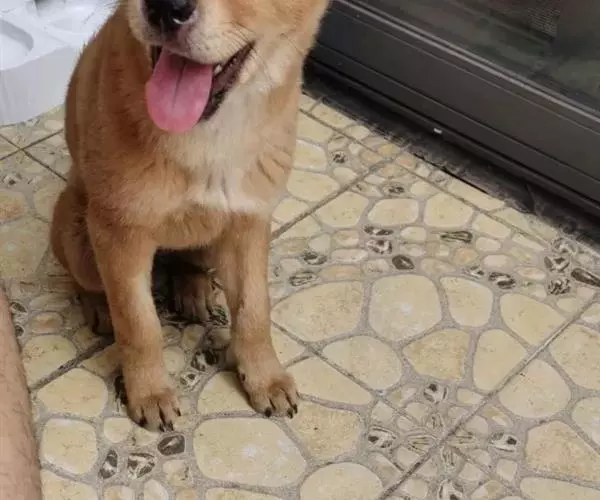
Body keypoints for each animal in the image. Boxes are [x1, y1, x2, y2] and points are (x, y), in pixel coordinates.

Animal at [51, 0, 329, 431]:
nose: (166, 8)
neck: (207, 135)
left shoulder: (249, 224)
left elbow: (254, 310)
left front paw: (264, 376)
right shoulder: (118, 234)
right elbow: (138, 323)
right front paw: (149, 391)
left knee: (190, 259)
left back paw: (192, 288)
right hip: (77, 231)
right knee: (87, 280)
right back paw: (97, 305)